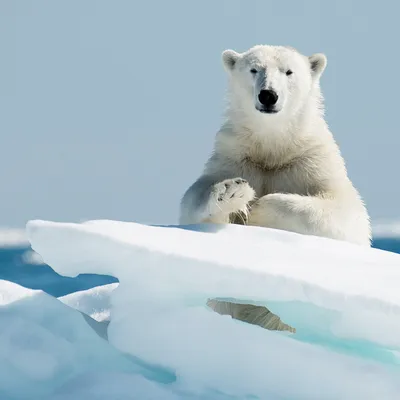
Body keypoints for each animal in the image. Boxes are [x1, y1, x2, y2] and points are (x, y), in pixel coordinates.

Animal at [178, 43, 372, 332]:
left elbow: (347, 216)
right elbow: (191, 207)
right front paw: (232, 193)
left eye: (288, 71)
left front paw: (258, 209)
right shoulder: (234, 157)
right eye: (254, 69)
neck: (273, 148)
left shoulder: (312, 161)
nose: (268, 95)